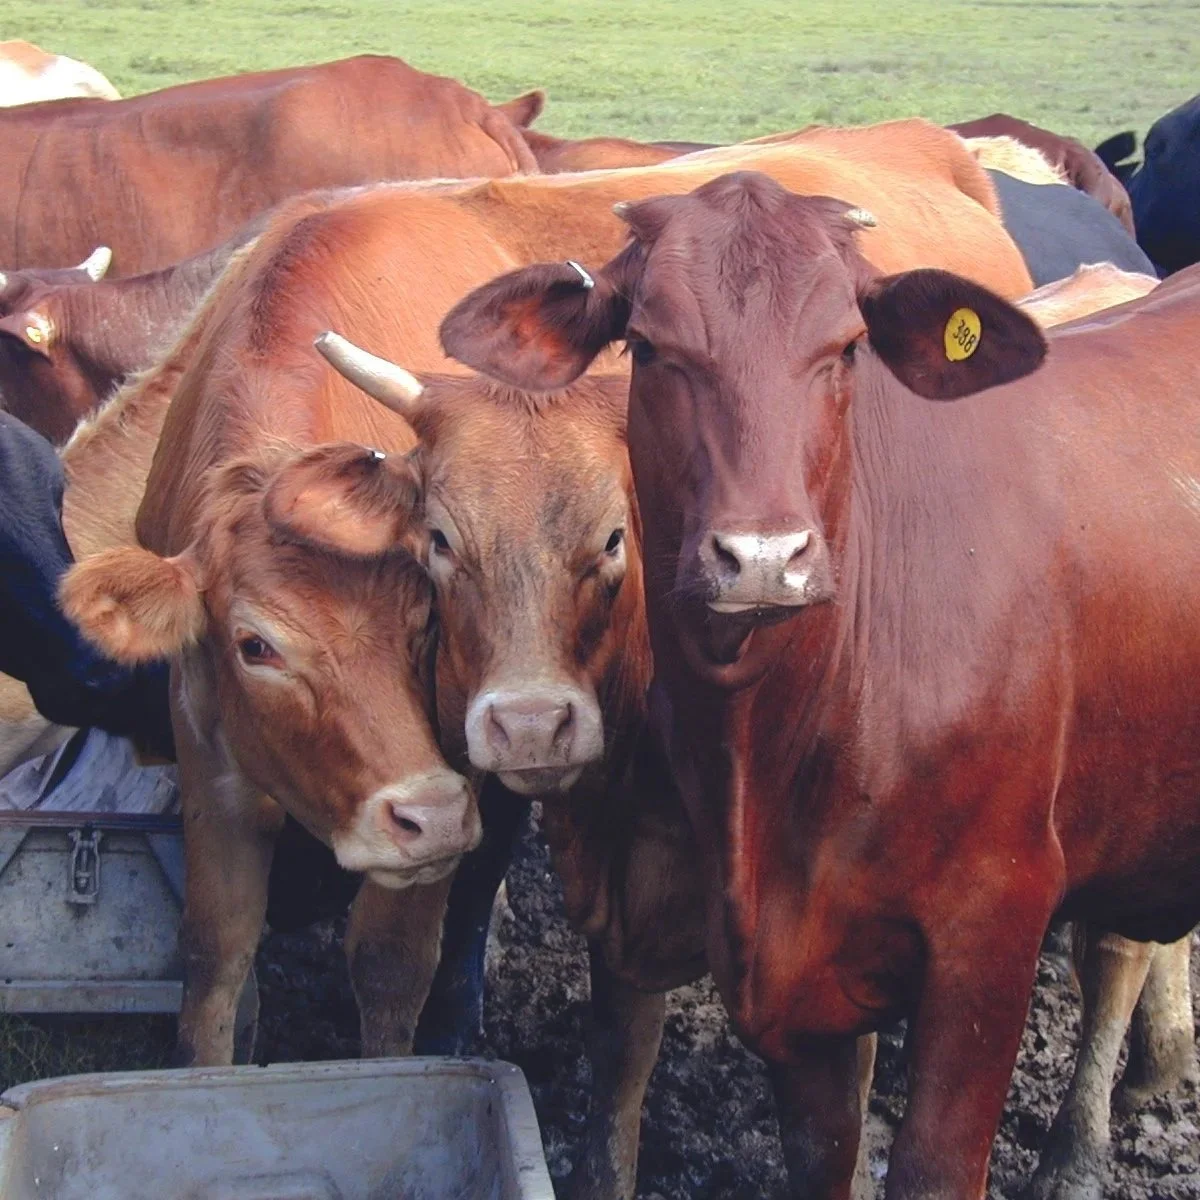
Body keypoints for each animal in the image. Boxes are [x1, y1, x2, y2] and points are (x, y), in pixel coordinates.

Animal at [432, 170, 1200, 1199]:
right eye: (651, 345)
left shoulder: (993, 929)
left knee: (1117, 953)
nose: (763, 557)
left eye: (845, 348)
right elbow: (821, 1155)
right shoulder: (797, 993)